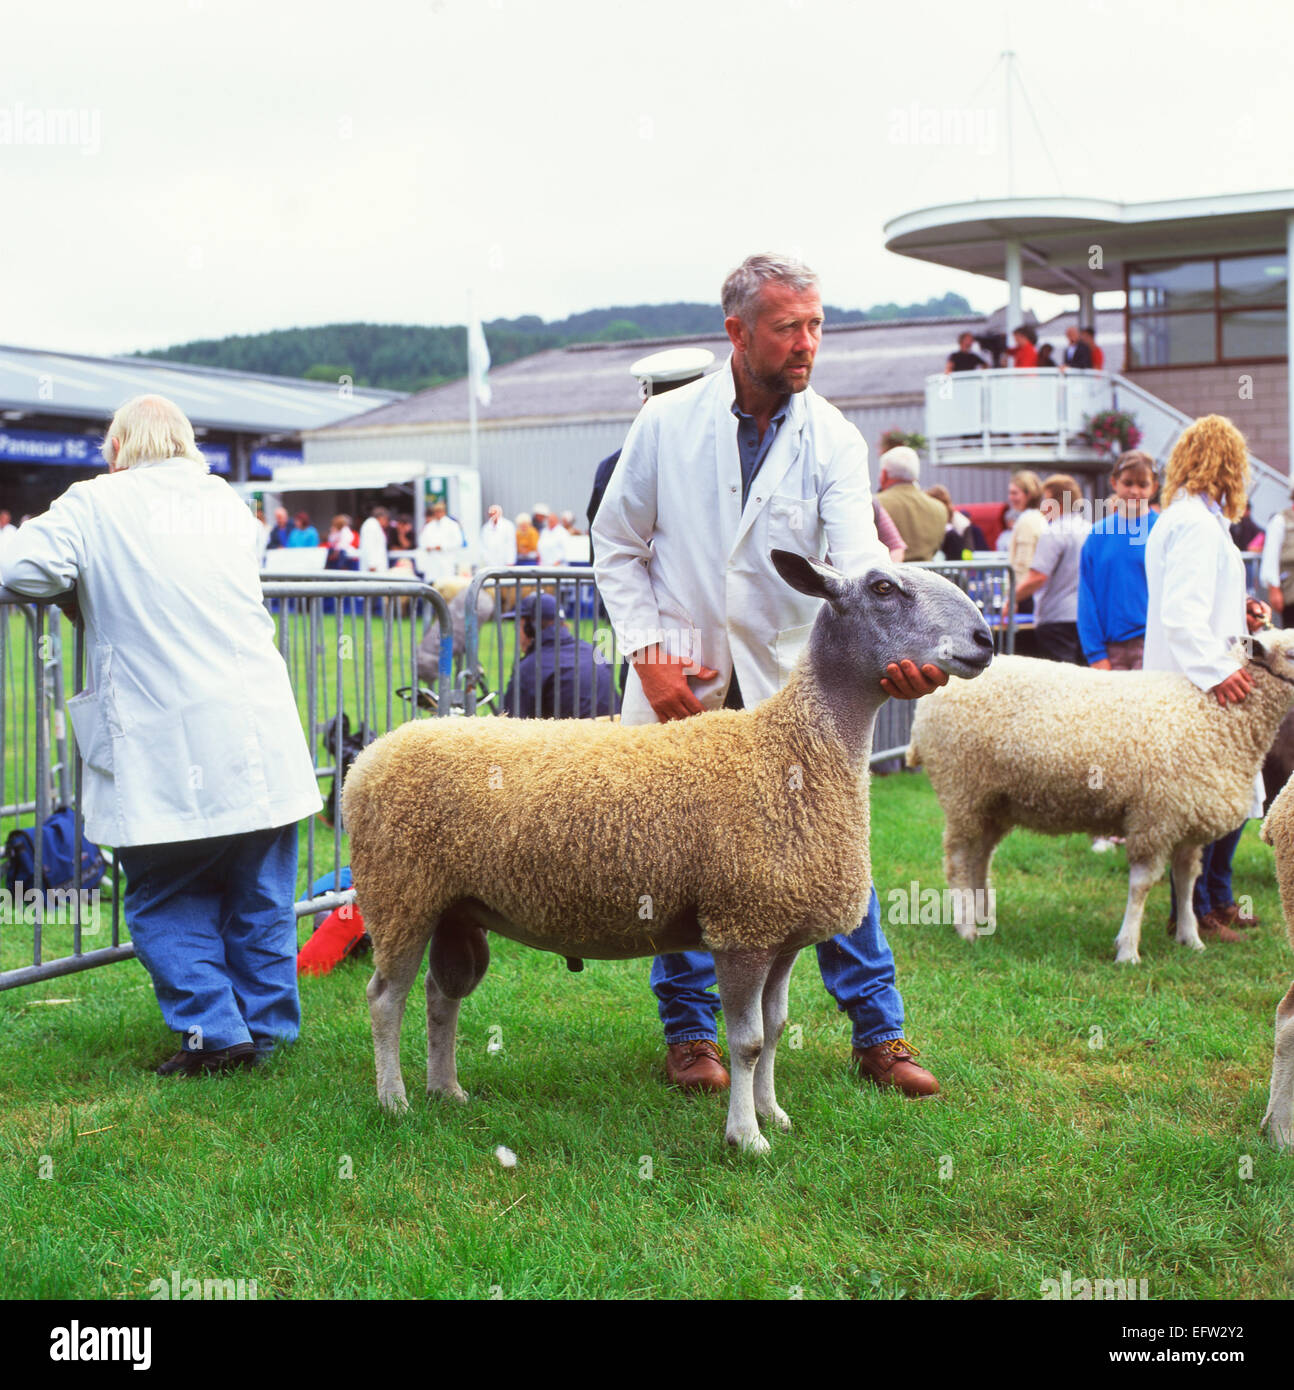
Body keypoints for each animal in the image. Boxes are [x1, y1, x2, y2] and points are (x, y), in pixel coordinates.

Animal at [341, 550, 989, 1150]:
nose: (984, 641)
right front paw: (746, 1137)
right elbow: (748, 1042)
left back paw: (445, 1089)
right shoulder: (741, 927)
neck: (793, 752)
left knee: (440, 996)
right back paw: (394, 1101)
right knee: (384, 999)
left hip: (455, 909)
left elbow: (776, 1029)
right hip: (399, 894)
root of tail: (369, 757)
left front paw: (773, 1113)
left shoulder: (782, 935)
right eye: (883, 588)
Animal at [906, 633, 1294, 967]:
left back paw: (982, 915)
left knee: (980, 858)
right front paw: (1128, 950)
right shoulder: (1154, 817)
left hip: (993, 801)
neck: (1214, 714)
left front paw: (1191, 939)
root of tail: (925, 706)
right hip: (962, 789)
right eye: (1291, 653)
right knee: (959, 860)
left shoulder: (1185, 820)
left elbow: (1186, 882)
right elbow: (1141, 886)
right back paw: (967, 927)